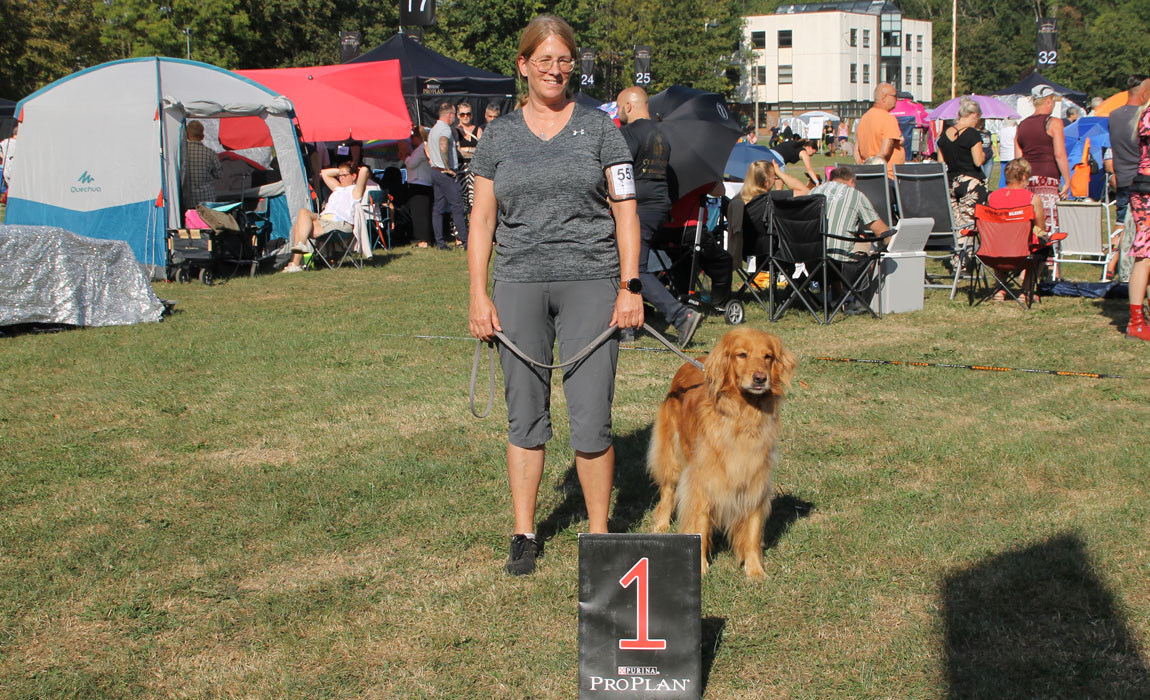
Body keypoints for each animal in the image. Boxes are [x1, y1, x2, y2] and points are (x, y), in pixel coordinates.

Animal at [648, 326, 800, 579]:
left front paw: (755, 571)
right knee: (668, 490)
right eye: (742, 355)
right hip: (672, 453)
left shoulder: (755, 479)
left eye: (768, 356)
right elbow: (699, 526)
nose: (760, 378)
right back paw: (661, 525)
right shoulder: (702, 481)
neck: (743, 416)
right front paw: (699, 569)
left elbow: (753, 531)